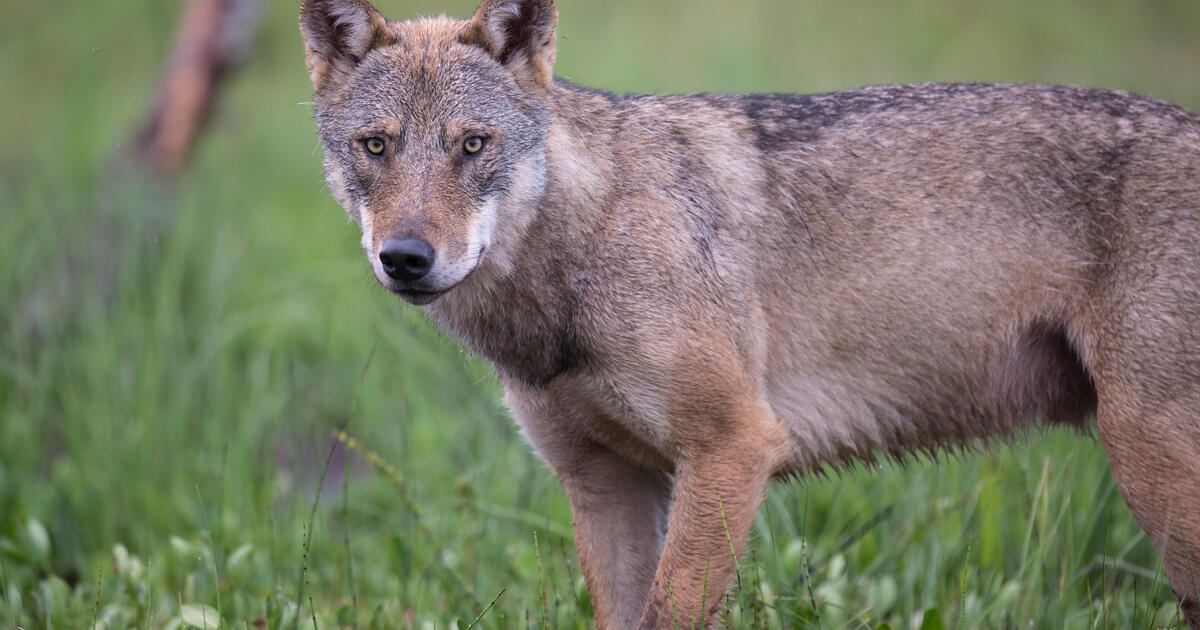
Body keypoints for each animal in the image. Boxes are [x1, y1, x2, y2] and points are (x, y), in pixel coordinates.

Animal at [299, 0, 1200, 626]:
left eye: (472, 145)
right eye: (375, 146)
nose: (406, 258)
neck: (588, 246)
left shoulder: (733, 447)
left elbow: (671, 613)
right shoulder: (604, 483)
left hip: (1150, 465)